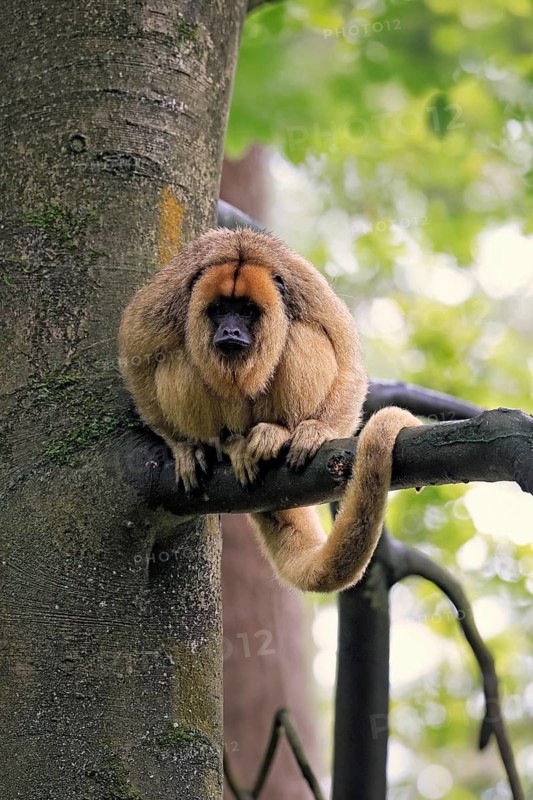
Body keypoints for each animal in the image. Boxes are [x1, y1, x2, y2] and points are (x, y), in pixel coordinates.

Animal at [118, 227, 421, 592]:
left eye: (247, 311)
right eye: (220, 309)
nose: (230, 330)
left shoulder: (304, 284)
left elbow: (348, 362)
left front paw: (318, 430)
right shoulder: (168, 298)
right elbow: (137, 359)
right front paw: (182, 446)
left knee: (303, 332)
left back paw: (277, 432)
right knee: (177, 356)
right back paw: (229, 444)